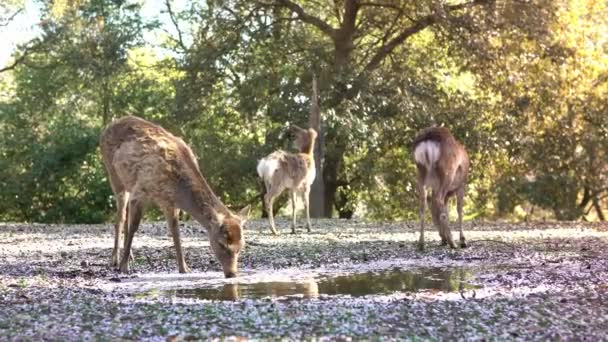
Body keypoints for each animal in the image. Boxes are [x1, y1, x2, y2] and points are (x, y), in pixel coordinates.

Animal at [100, 115, 249, 278]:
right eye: (221, 243)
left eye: (241, 246)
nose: (232, 273)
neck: (177, 190)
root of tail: (107, 127)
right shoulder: (141, 190)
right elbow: (134, 226)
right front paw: (124, 267)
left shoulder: (168, 202)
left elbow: (175, 231)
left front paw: (184, 268)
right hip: (114, 176)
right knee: (120, 219)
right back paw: (115, 259)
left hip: (128, 183)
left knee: (125, 217)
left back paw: (130, 255)